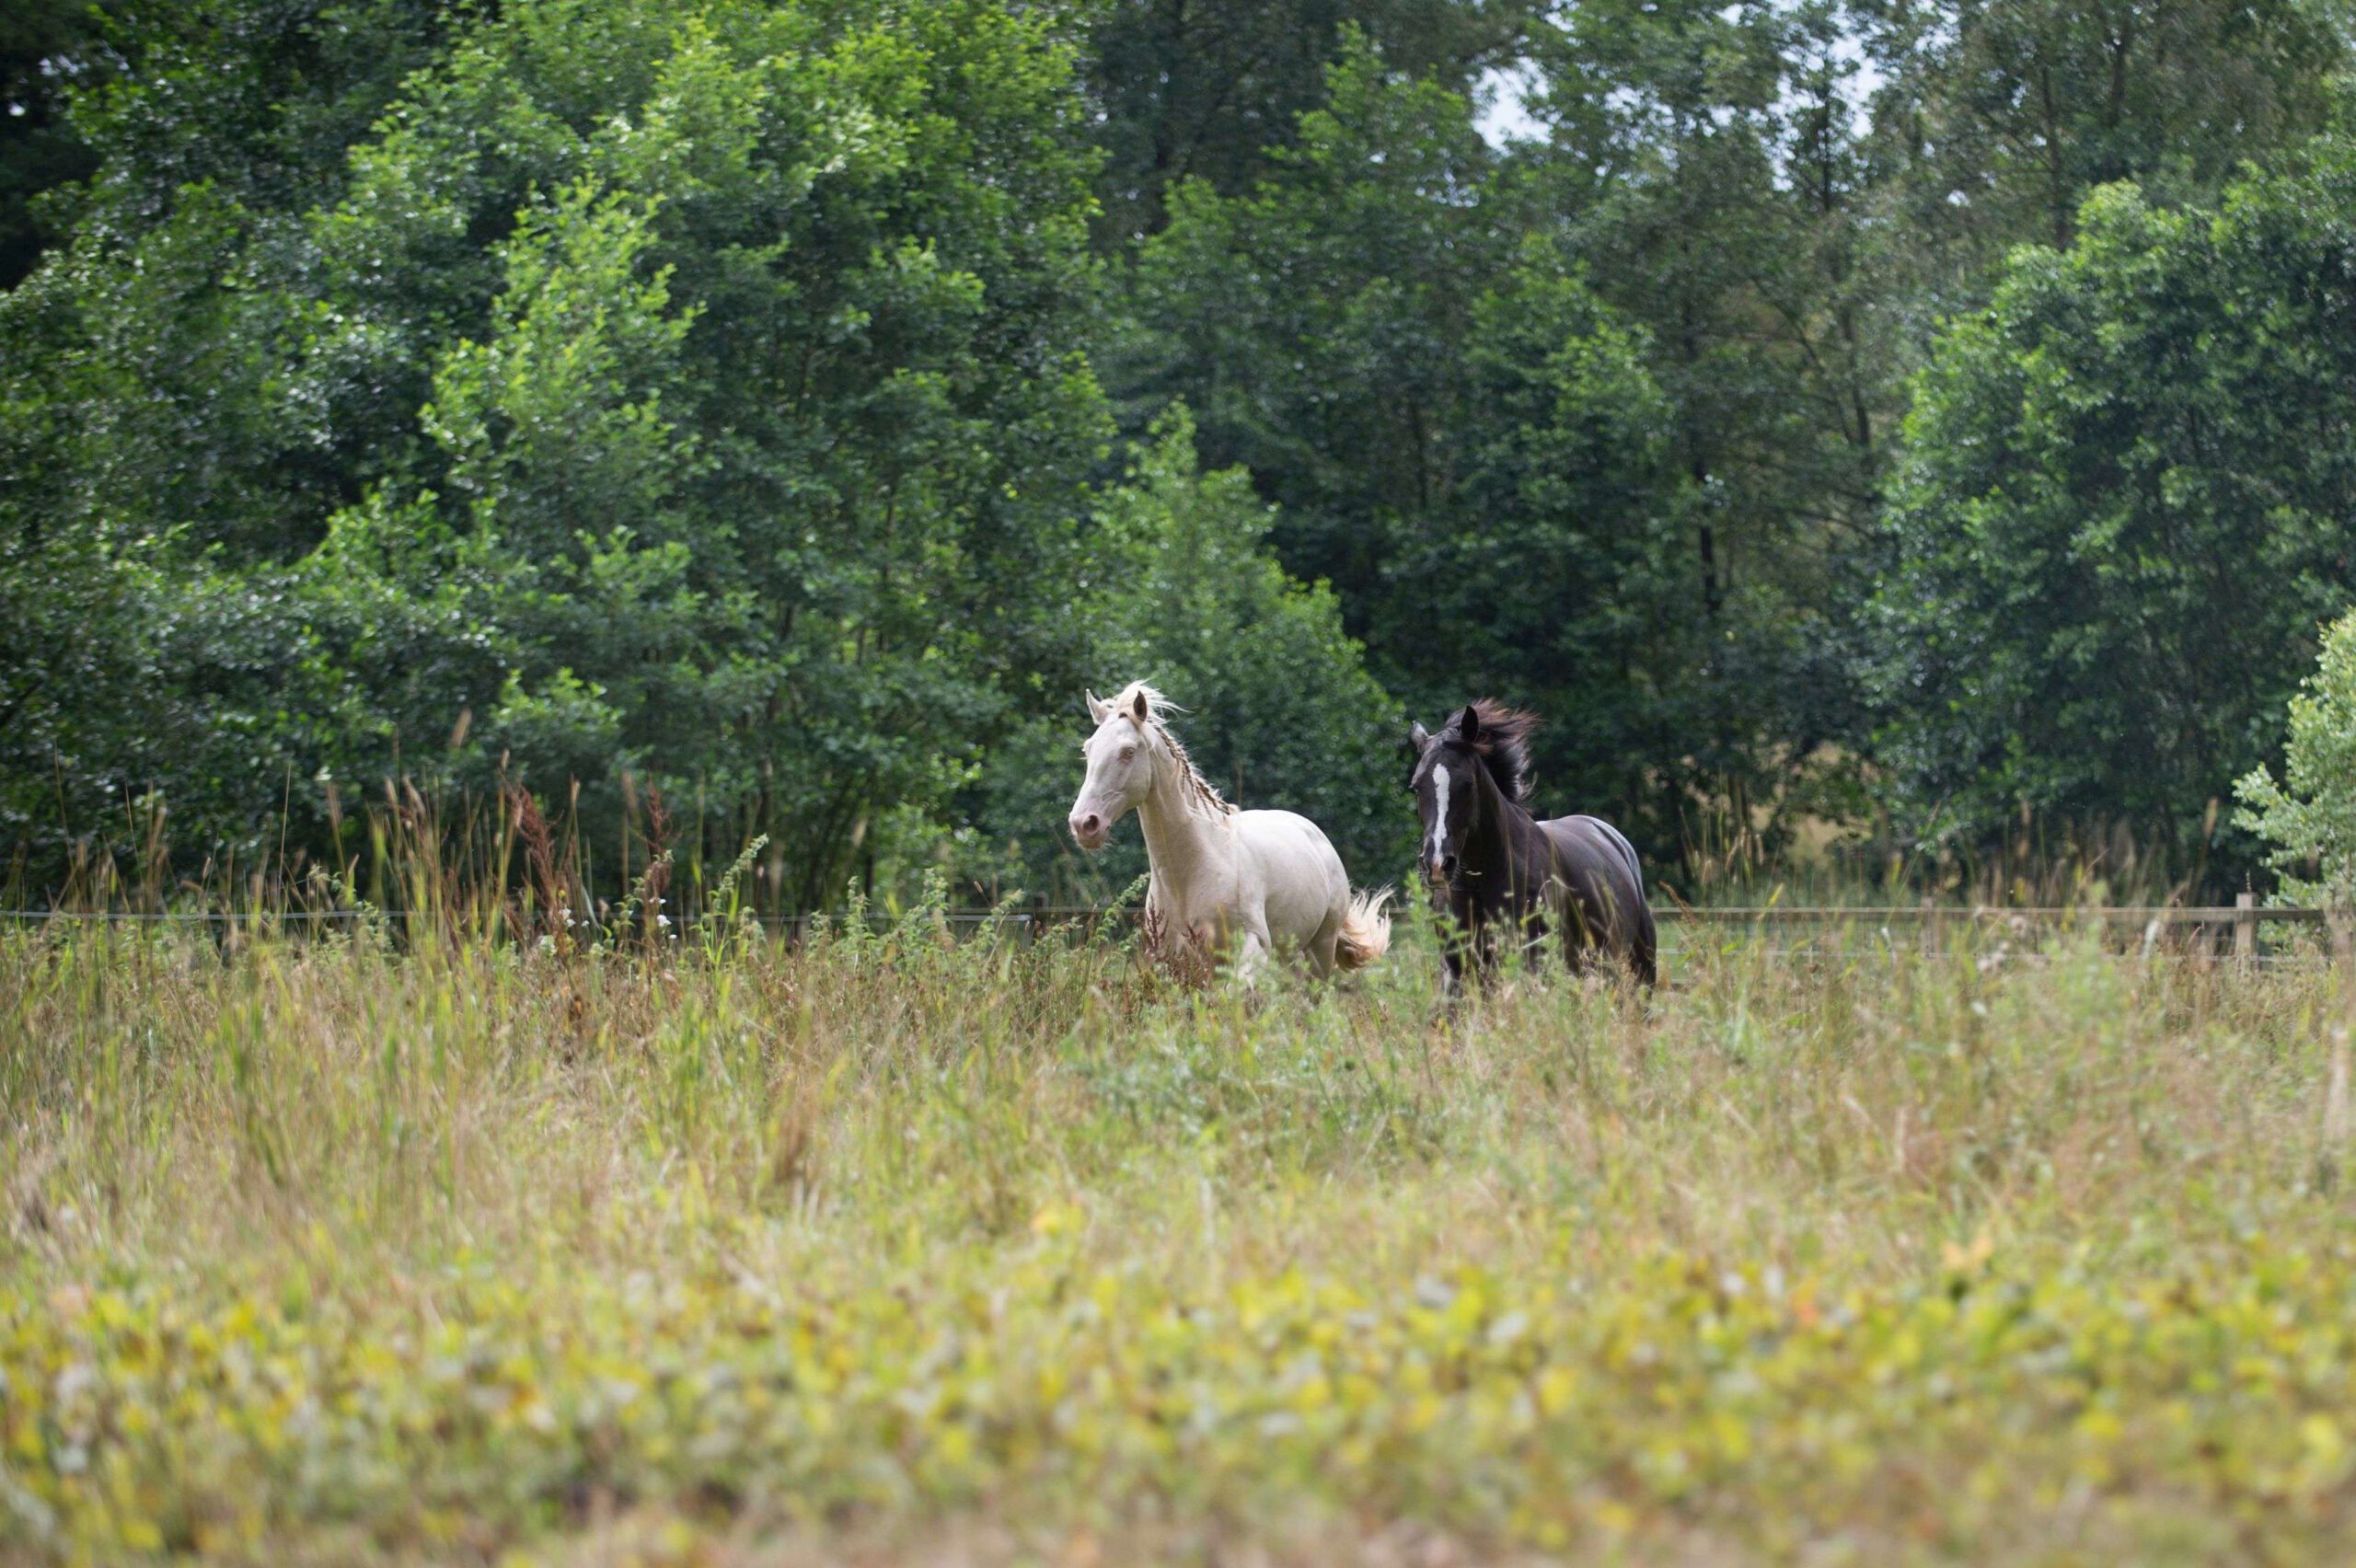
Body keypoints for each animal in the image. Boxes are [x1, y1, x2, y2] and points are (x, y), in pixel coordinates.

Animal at [1065, 677, 1385, 970]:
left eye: (1128, 751)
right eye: (1088, 750)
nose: (1084, 824)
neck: (1192, 870)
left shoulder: (1253, 948)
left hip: (1320, 950)